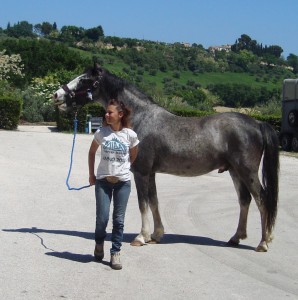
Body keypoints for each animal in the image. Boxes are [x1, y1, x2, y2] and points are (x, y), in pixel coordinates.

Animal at [53, 64, 280, 252]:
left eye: (84, 80)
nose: (56, 95)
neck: (141, 118)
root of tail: (258, 123)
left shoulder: (142, 173)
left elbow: (143, 203)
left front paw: (141, 237)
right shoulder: (151, 173)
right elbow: (154, 201)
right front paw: (156, 235)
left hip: (247, 171)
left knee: (261, 200)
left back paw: (263, 242)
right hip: (234, 171)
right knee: (245, 200)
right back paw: (236, 238)